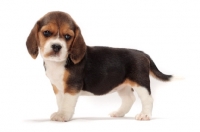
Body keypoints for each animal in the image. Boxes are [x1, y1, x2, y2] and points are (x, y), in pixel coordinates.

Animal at [25, 11, 173, 121]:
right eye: (46, 33)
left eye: (67, 36)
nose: (56, 46)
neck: (58, 62)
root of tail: (143, 53)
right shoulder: (58, 87)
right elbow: (60, 102)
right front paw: (59, 112)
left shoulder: (72, 86)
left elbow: (66, 103)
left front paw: (63, 116)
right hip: (122, 85)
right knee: (129, 99)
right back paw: (119, 113)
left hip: (140, 82)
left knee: (148, 99)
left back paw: (145, 115)